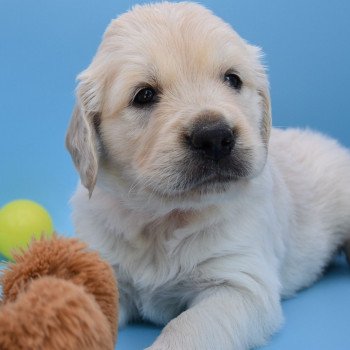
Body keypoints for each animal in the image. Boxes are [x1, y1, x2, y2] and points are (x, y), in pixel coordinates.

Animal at [65, 2, 350, 348]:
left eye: (232, 79)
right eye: (144, 95)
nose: (214, 136)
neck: (163, 219)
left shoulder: (238, 284)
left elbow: (187, 328)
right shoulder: (105, 268)